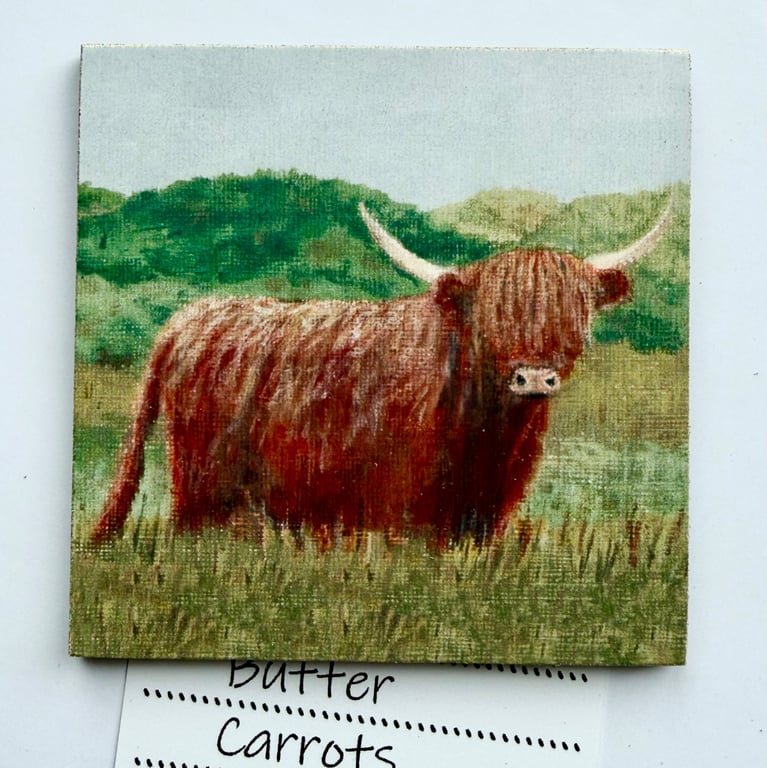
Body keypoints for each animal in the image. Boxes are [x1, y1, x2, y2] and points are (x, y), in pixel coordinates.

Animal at [91, 199, 673, 549]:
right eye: (493, 322)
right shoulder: (399, 517)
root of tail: (187, 320)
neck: (490, 440)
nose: (533, 379)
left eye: (575, 319)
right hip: (204, 489)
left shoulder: (484, 518)